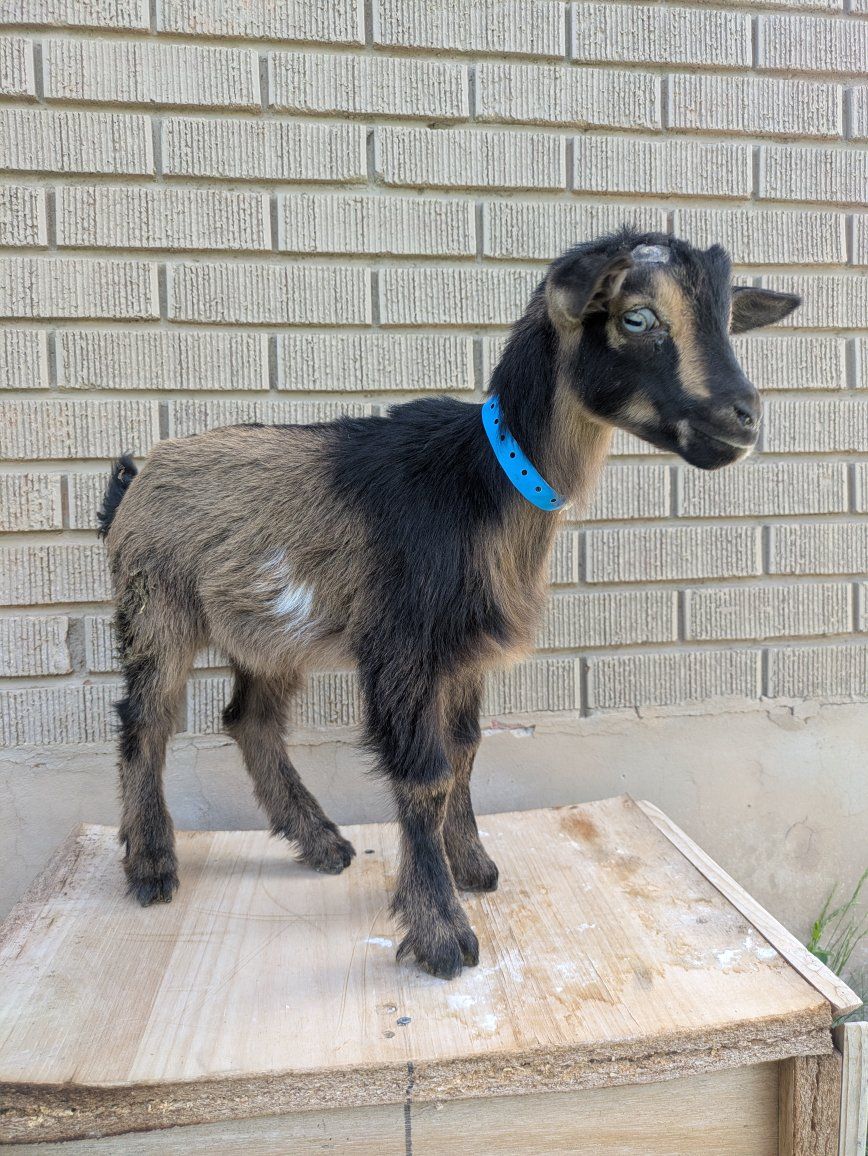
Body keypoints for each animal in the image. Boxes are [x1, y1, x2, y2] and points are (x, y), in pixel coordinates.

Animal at [99, 230, 800, 979]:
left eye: (727, 317)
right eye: (637, 317)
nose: (744, 418)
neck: (485, 479)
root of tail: (135, 478)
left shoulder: (464, 653)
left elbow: (465, 751)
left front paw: (472, 867)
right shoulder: (401, 646)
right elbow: (426, 776)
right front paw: (441, 932)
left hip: (268, 633)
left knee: (249, 719)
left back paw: (323, 844)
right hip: (156, 604)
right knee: (145, 720)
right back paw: (152, 867)